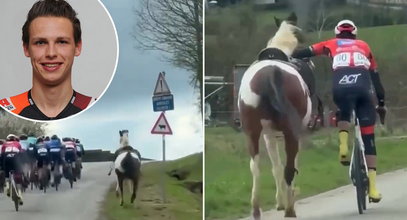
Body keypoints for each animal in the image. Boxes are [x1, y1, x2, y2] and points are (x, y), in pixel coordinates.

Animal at [239, 13, 312, 218]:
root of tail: (271, 73)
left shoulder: (268, 135)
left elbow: (275, 167)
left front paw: (280, 201)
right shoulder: (287, 134)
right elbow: (287, 167)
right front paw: (284, 201)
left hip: (252, 133)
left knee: (255, 167)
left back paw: (256, 209)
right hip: (289, 134)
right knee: (289, 169)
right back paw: (289, 209)